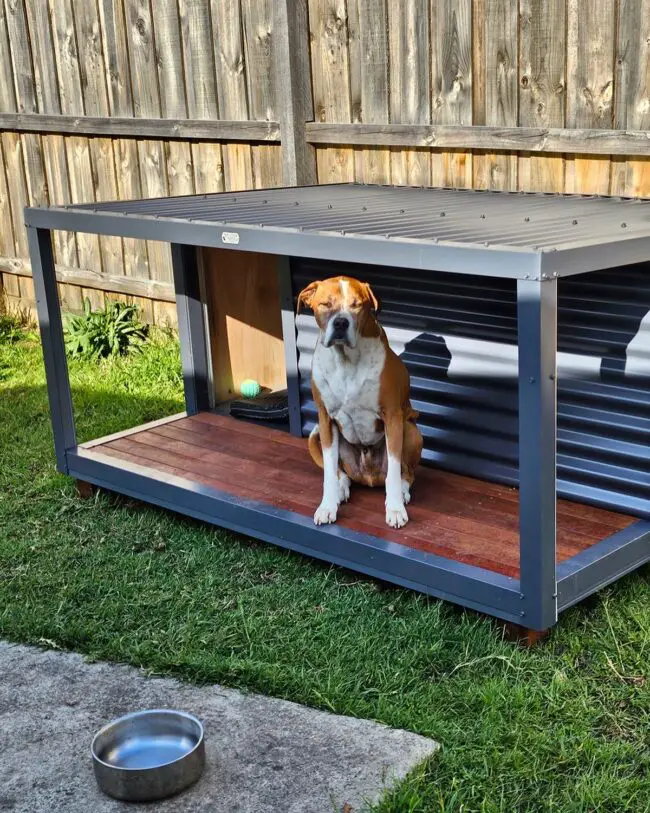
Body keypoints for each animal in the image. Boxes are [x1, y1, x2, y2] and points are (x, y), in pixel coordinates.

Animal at [296, 276, 422, 528]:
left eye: (357, 305)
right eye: (326, 304)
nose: (341, 322)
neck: (345, 359)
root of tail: (368, 477)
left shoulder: (392, 417)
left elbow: (394, 469)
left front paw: (395, 509)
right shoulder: (325, 419)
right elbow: (328, 472)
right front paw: (327, 506)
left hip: (410, 429)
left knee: (404, 472)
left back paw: (402, 492)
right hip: (321, 436)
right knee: (339, 472)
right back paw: (340, 489)